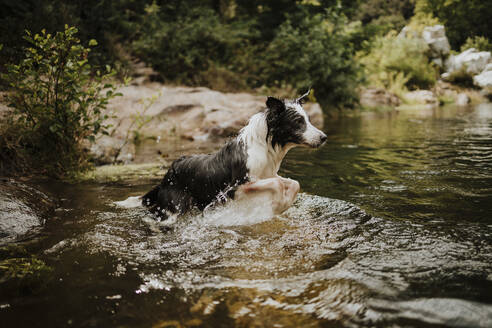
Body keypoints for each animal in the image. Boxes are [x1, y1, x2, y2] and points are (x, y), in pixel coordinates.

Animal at [142, 90, 326, 218]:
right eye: (298, 122)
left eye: (308, 120)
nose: (324, 137)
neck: (265, 148)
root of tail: (168, 174)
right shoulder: (232, 189)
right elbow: (277, 184)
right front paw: (278, 204)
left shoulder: (269, 174)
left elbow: (294, 183)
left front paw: (283, 204)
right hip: (174, 208)